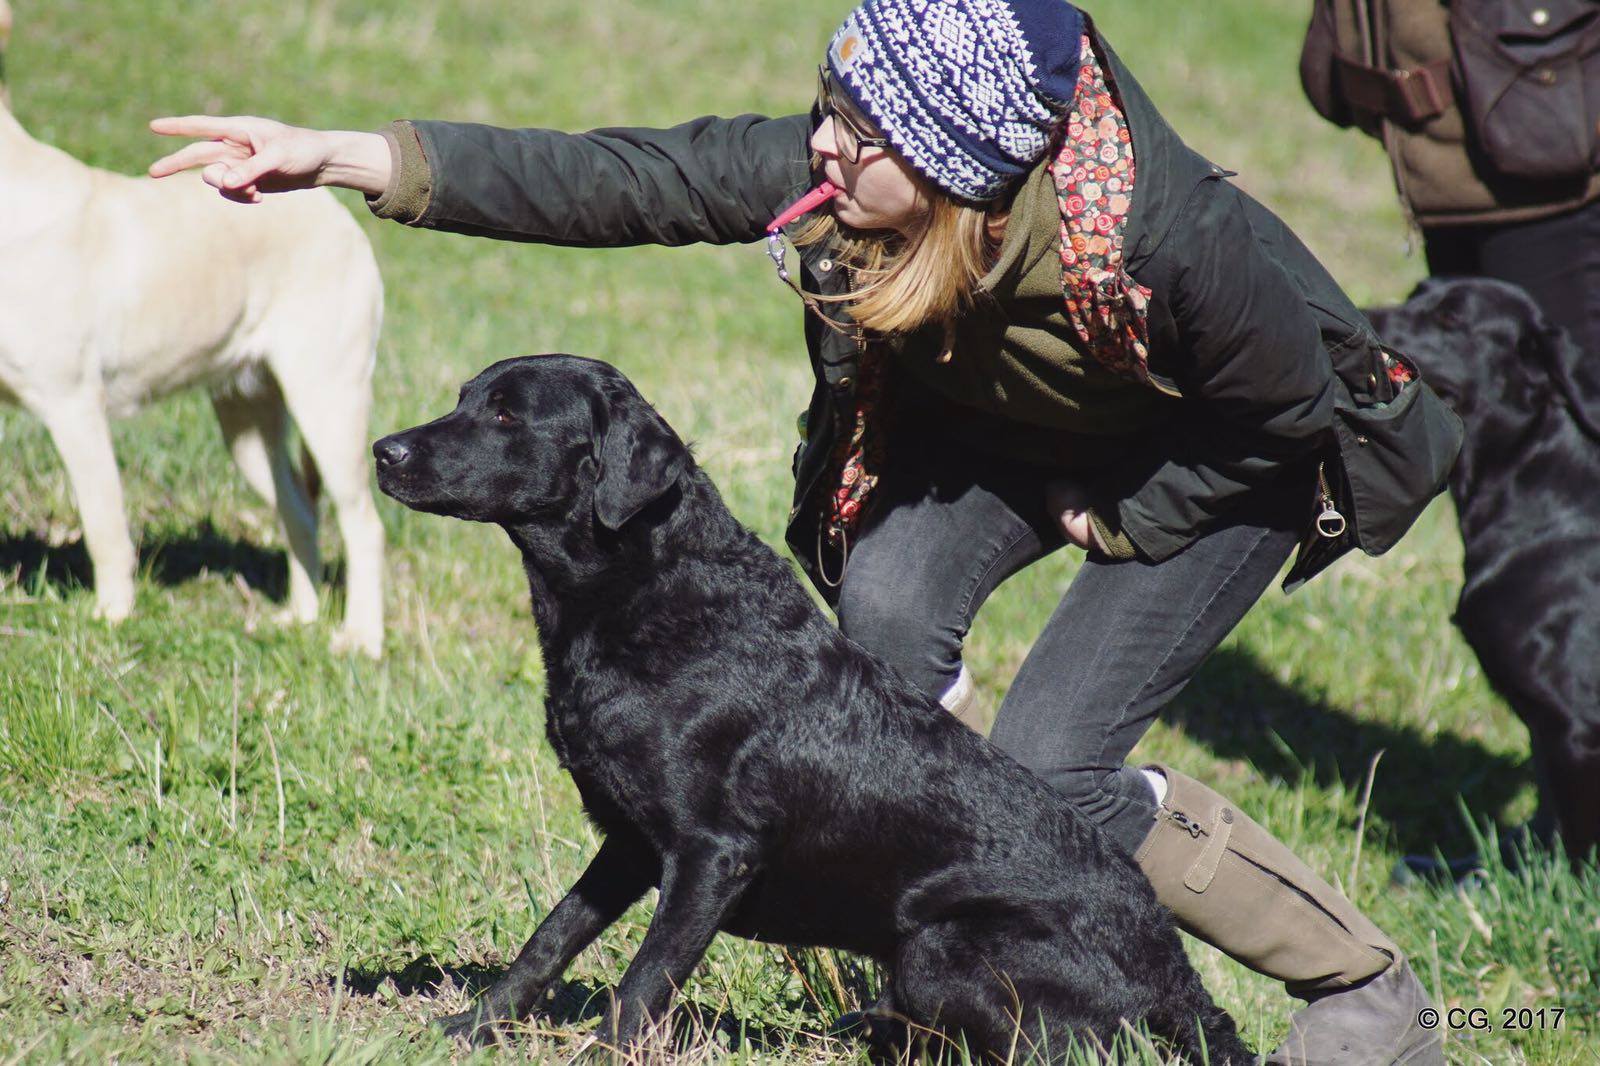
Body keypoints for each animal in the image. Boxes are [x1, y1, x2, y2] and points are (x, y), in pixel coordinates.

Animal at [374, 355, 1248, 1056]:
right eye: (464, 397)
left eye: (506, 414)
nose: (384, 450)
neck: (653, 596)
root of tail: (1179, 979)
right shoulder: (628, 841)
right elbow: (550, 938)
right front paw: (471, 1026)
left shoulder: (713, 853)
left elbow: (646, 977)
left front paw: (599, 1052)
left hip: (942, 948)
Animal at [1363, 275, 1600, 857]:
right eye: (1416, 293)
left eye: (1452, 319)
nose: (1358, 317)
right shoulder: (1550, 731)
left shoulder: (1576, 729)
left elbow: (1577, 847)